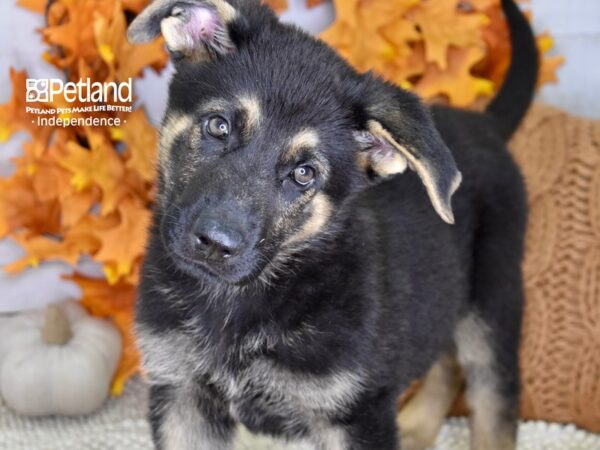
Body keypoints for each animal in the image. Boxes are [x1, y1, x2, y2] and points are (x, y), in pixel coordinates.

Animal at [127, 1, 540, 448]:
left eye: (304, 174)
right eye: (218, 126)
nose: (216, 244)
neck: (238, 301)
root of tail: (485, 124)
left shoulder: (356, 412)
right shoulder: (182, 394)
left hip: (492, 300)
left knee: (494, 398)